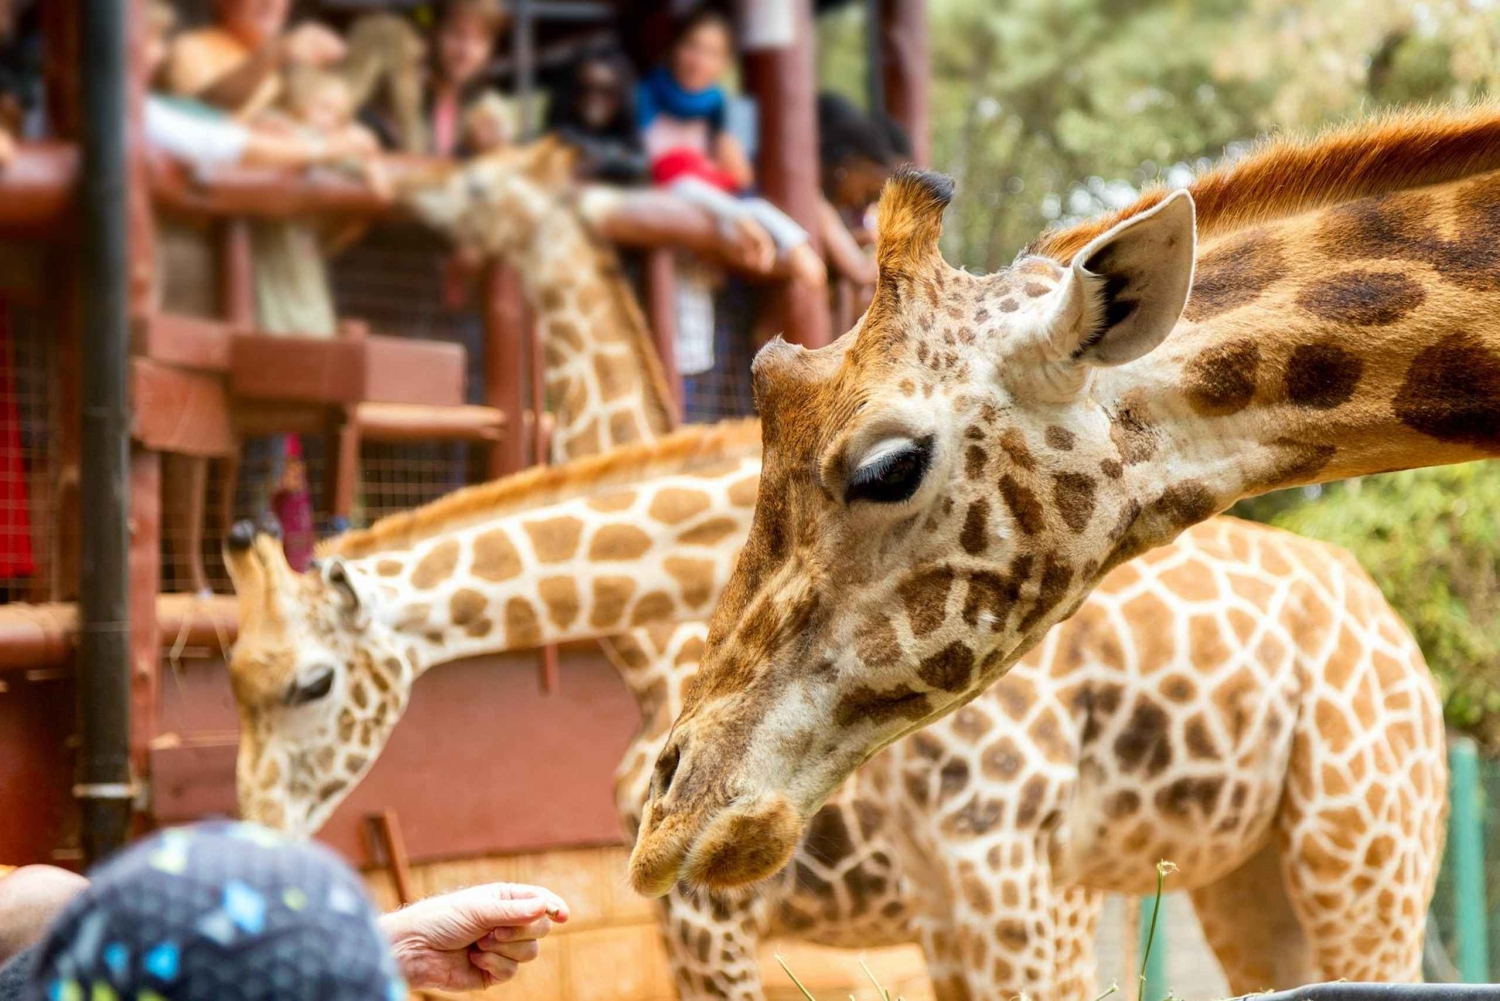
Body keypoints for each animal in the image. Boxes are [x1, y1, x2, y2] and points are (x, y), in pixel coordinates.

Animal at [226, 427, 1445, 998]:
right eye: (231, 679)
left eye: (311, 683)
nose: (253, 833)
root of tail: (1403, 642)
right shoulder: (944, 884)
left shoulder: (1010, 864)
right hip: (1253, 876)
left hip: (1362, 847)